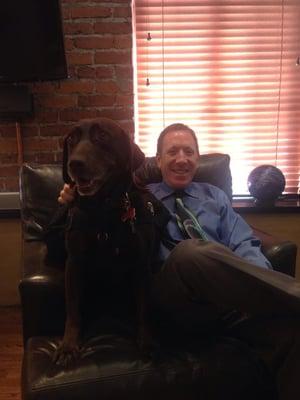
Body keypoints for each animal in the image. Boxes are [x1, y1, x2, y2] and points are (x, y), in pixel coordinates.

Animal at [53, 118, 162, 366]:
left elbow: (144, 308)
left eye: (102, 136)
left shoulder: (141, 264)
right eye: (71, 139)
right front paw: (68, 346)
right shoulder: (74, 262)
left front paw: (147, 342)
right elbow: (72, 309)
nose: (74, 164)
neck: (104, 210)